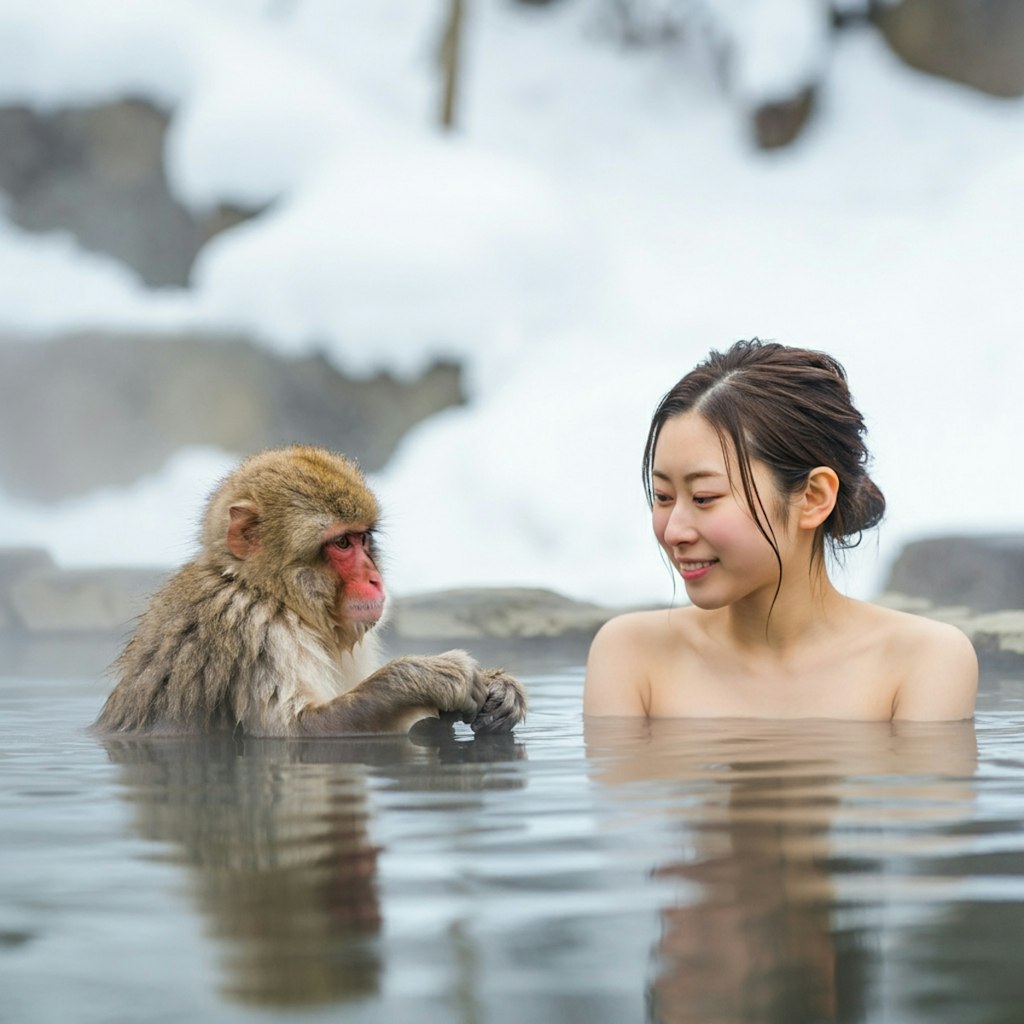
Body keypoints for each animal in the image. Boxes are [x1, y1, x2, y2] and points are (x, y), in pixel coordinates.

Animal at [94, 446, 528, 737]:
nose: (374, 578)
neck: (267, 592)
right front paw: (427, 677)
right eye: (342, 544)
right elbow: (296, 733)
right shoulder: (255, 633)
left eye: (363, 538)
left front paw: (501, 689)